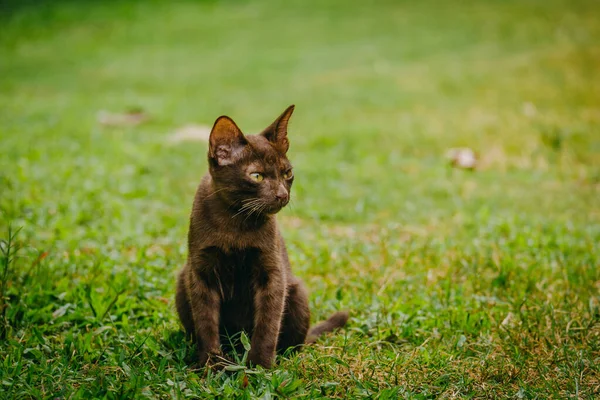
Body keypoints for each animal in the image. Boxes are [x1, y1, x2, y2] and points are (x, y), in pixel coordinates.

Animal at [173, 104, 350, 368]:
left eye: (287, 173)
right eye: (256, 176)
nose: (282, 195)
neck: (235, 220)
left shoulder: (272, 273)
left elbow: (268, 324)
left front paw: (259, 366)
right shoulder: (202, 273)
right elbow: (206, 322)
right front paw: (211, 364)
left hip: (297, 291)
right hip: (183, 280)